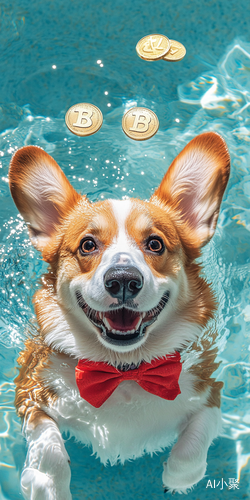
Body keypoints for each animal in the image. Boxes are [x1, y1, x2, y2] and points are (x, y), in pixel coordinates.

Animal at [8, 131, 229, 498]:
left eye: (155, 244)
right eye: (88, 245)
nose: (123, 279)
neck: (123, 370)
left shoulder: (210, 390)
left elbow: (194, 442)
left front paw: (177, 479)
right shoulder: (29, 392)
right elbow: (48, 445)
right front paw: (45, 484)